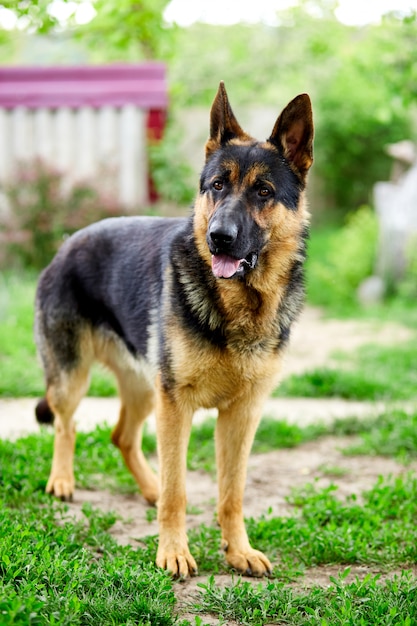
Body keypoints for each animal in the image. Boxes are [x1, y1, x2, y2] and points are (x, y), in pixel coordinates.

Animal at [34, 83, 312, 576]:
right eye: (217, 186)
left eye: (263, 191)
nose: (218, 237)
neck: (240, 305)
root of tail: (66, 244)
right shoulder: (177, 407)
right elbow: (178, 490)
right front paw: (173, 552)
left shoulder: (242, 415)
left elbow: (232, 492)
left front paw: (238, 551)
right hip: (75, 379)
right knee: (66, 425)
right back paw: (62, 480)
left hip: (146, 390)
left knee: (122, 437)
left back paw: (146, 487)